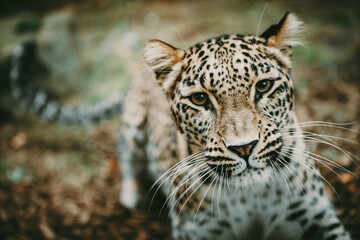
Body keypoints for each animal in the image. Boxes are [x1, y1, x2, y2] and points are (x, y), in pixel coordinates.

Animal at [10, 12, 352, 240]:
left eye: (264, 86)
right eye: (200, 99)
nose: (244, 147)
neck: (254, 197)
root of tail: (139, 73)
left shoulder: (319, 218)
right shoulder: (197, 231)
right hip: (133, 125)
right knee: (125, 153)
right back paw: (133, 195)